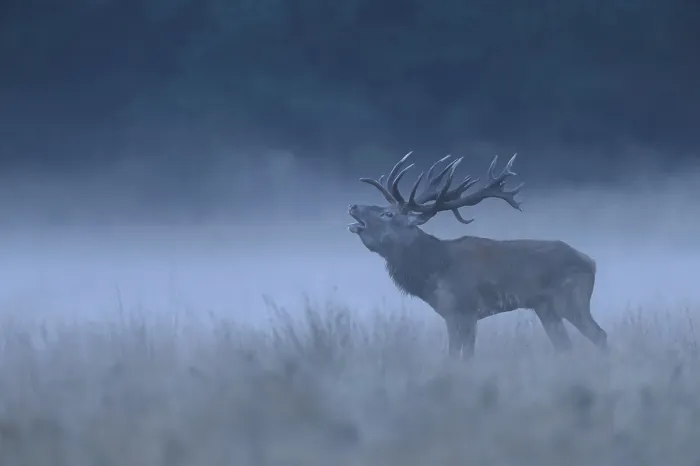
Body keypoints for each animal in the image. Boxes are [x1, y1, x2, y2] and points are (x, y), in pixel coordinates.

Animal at [348, 152, 608, 357]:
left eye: (388, 214)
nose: (353, 206)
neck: (433, 271)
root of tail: (591, 262)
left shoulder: (465, 310)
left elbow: (462, 356)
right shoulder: (452, 314)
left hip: (571, 299)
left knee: (599, 335)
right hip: (545, 307)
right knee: (564, 345)